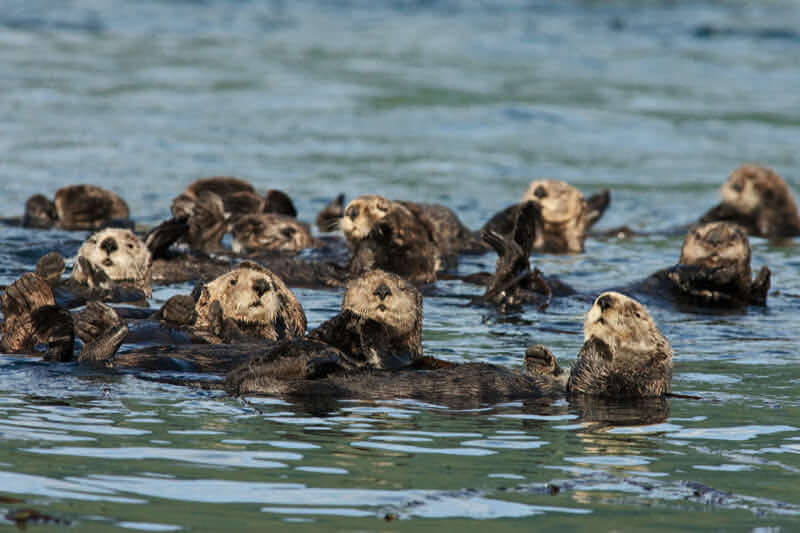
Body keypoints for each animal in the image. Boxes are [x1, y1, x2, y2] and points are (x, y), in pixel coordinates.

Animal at [481, 180, 610, 254]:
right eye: (532, 187)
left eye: (563, 192)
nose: (539, 190)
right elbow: (491, 225)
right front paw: (518, 208)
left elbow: (537, 240)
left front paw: (531, 210)